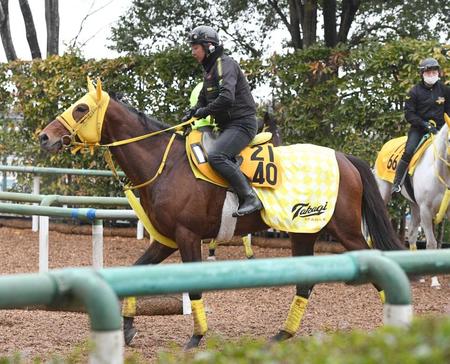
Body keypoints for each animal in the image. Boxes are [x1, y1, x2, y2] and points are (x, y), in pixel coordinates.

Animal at [38, 80, 404, 350]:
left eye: (81, 107)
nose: (44, 136)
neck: (166, 164)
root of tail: (344, 158)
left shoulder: (187, 237)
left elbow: (194, 288)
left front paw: (197, 336)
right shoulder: (166, 240)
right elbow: (134, 274)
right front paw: (127, 328)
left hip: (345, 231)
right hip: (304, 231)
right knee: (305, 282)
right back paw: (283, 334)